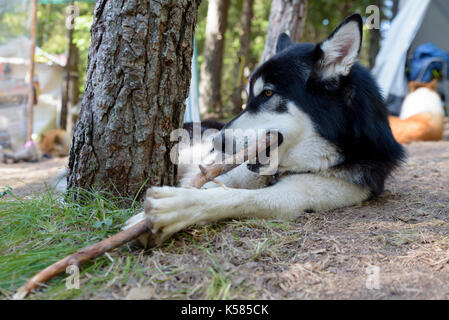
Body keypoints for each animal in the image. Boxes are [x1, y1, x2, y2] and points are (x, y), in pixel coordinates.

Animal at [124, 13, 404, 246]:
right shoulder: (219, 173)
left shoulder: (297, 195)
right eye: (248, 97)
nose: (217, 144)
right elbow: (206, 186)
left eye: (267, 93)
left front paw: (173, 208)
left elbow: (232, 197)